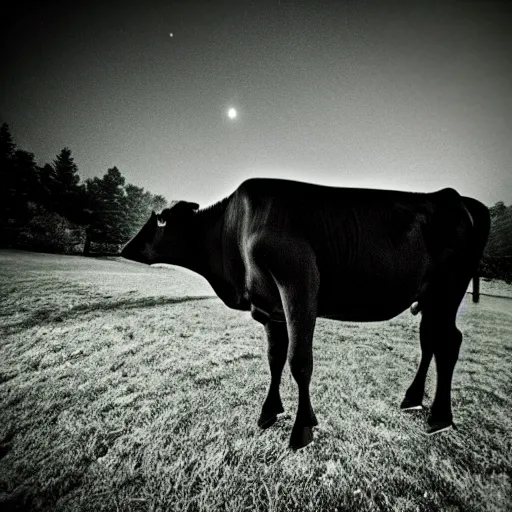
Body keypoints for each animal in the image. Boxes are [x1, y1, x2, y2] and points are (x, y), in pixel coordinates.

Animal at [122, 178, 490, 450]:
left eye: (161, 220)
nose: (125, 247)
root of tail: (456, 197)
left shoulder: (298, 284)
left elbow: (299, 361)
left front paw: (302, 430)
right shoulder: (269, 307)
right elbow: (275, 357)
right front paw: (270, 412)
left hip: (449, 288)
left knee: (448, 341)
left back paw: (440, 418)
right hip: (431, 297)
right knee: (431, 339)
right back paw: (413, 399)